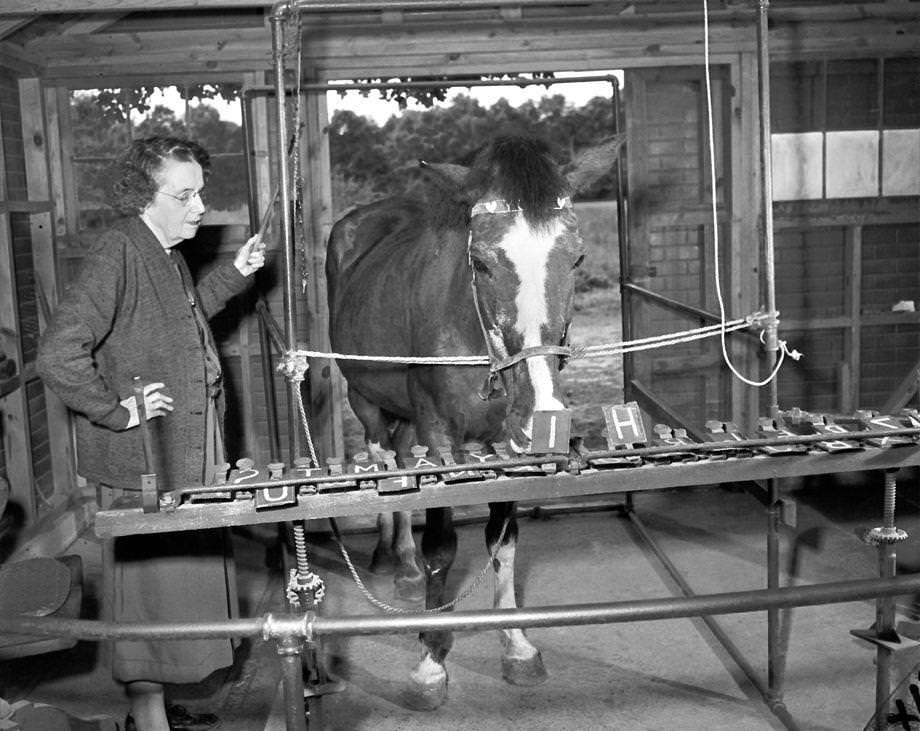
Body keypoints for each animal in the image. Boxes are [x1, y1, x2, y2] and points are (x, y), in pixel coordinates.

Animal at [328, 134, 620, 712]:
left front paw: (517, 645)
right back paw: (399, 564)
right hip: (365, 398)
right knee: (383, 459)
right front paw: (430, 659)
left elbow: (503, 541)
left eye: (576, 257)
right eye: (480, 262)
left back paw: (404, 565)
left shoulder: (502, 442)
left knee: (401, 458)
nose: (543, 417)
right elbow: (442, 545)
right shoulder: (439, 433)